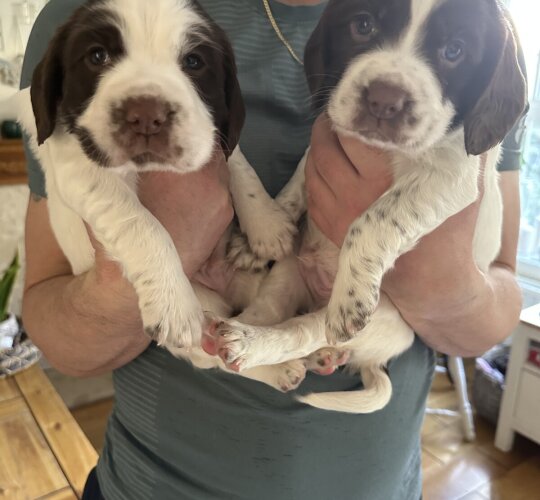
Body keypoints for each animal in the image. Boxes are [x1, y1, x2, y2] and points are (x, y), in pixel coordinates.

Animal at [210, 0, 528, 414]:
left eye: (454, 51)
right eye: (362, 26)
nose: (384, 100)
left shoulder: (450, 177)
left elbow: (374, 218)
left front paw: (352, 290)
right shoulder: (329, 136)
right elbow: (298, 185)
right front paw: (261, 235)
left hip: (374, 320)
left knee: (303, 330)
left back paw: (259, 345)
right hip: (287, 274)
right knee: (268, 314)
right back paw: (235, 336)